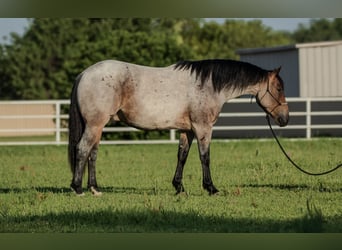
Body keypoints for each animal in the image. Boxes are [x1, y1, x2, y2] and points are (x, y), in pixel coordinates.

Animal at [67, 58, 288, 195]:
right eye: (278, 88)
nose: (285, 119)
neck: (208, 85)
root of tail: (84, 74)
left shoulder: (187, 130)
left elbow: (182, 156)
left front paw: (179, 187)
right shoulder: (203, 128)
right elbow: (205, 157)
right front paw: (211, 188)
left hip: (98, 126)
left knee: (92, 153)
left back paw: (95, 189)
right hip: (95, 125)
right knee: (83, 149)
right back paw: (77, 188)